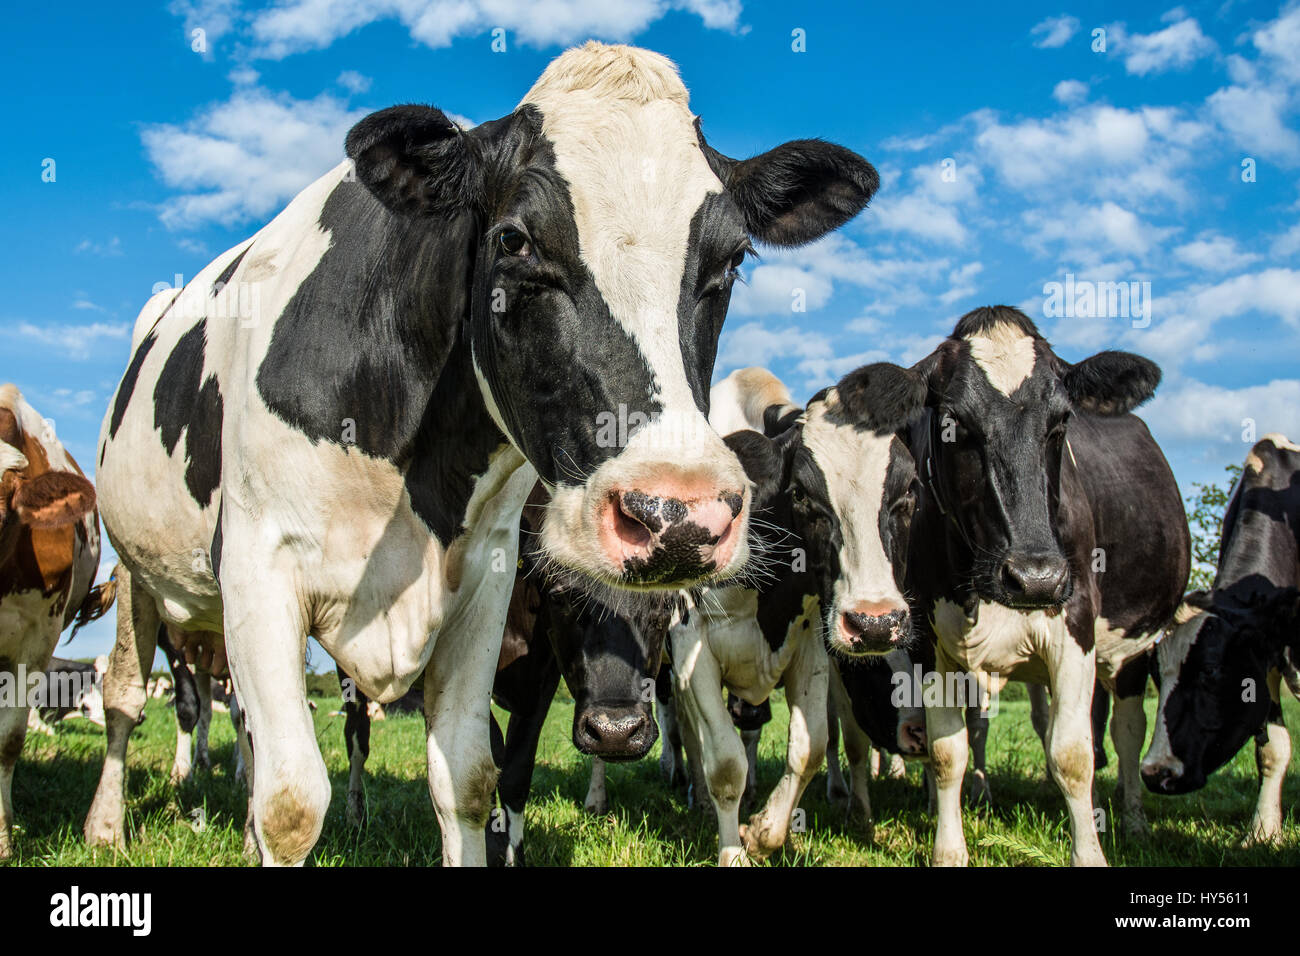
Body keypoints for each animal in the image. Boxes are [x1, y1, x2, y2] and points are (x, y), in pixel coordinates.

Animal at [86, 42, 878, 868]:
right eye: (514, 240)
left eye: (732, 259)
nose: (678, 515)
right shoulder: (256, 566)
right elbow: (291, 803)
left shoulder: (485, 588)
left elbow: (469, 778)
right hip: (136, 571)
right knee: (127, 699)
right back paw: (107, 825)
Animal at [852, 304, 1190, 868]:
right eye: (953, 423)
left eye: (1061, 422)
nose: (1036, 576)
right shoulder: (931, 641)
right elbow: (947, 753)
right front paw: (949, 849)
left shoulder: (1076, 626)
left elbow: (1073, 755)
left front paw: (1090, 853)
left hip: (1129, 652)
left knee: (1125, 732)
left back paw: (1134, 819)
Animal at [1149, 434, 1300, 842]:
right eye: (1155, 675)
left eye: (1211, 672)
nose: (1156, 773)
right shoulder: (1266, 661)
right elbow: (1273, 750)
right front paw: (1263, 832)